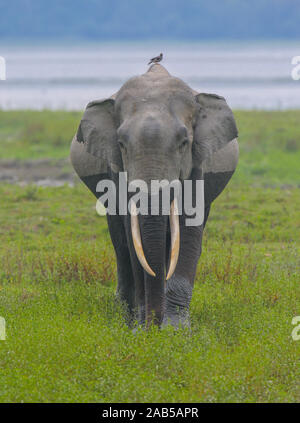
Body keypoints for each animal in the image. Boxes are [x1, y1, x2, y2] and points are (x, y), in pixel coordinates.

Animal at [71, 63, 239, 330]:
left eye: (184, 142)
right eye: (121, 143)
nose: (153, 325)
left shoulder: (197, 163)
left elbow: (189, 229)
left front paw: (175, 330)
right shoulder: (117, 169)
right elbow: (133, 234)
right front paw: (141, 329)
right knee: (120, 243)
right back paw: (126, 315)